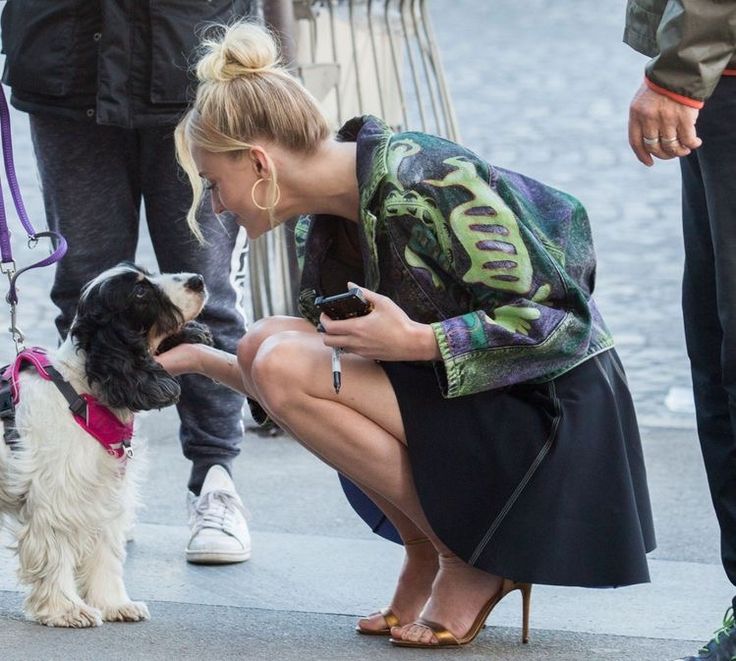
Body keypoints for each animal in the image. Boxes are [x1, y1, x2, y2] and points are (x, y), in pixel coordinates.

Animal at [0, 262, 213, 624]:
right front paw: (66, 609)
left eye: (149, 273)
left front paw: (115, 604)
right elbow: (56, 554)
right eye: (139, 292)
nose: (197, 280)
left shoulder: (105, 494)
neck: (83, 390)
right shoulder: (57, 498)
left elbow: (105, 555)